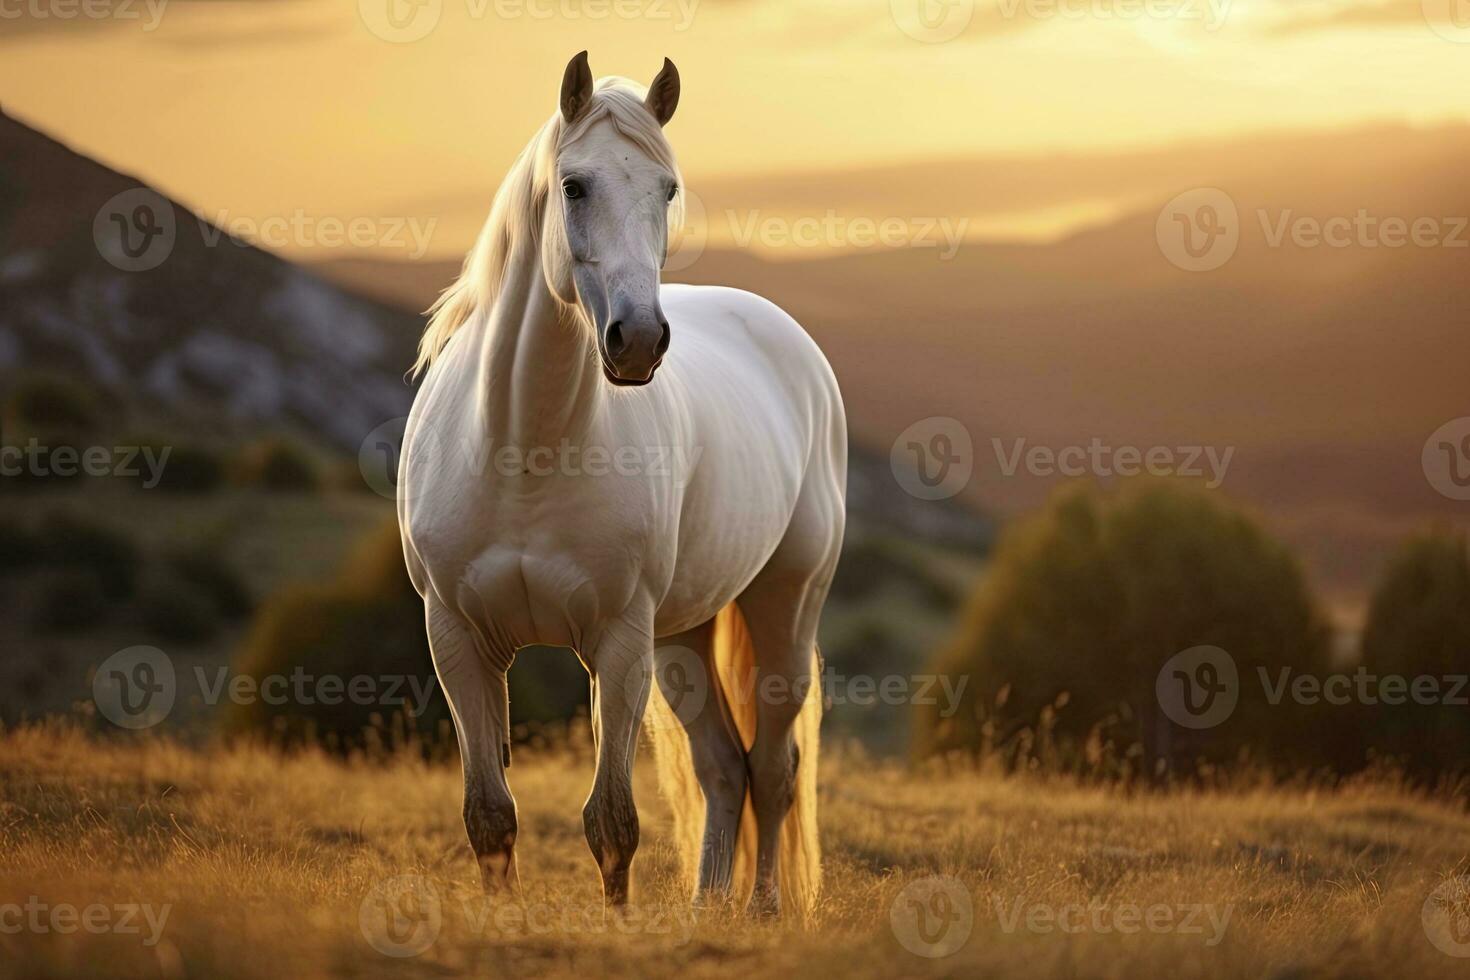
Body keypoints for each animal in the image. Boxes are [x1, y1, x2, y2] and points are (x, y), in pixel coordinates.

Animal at [396, 51, 846, 922]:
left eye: (667, 189)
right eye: (575, 185)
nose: (637, 341)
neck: (522, 454)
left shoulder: (617, 641)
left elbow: (612, 822)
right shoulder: (456, 638)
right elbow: (489, 817)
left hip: (781, 609)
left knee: (773, 770)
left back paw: (762, 911)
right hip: (684, 636)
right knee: (723, 768)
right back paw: (708, 906)